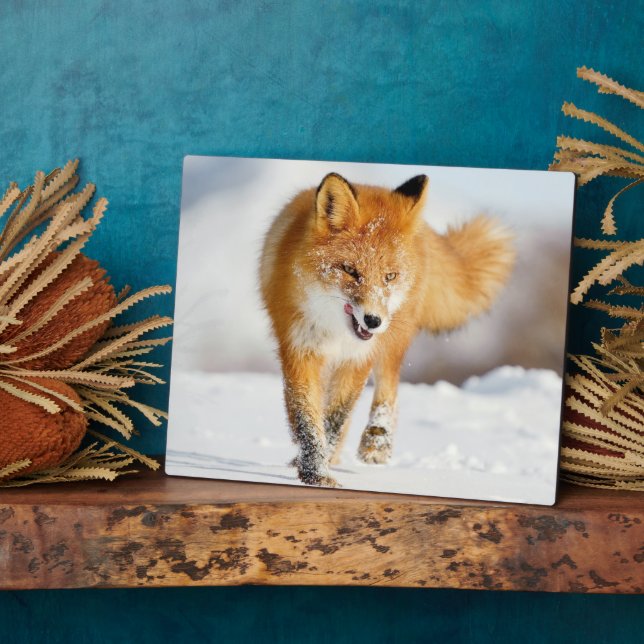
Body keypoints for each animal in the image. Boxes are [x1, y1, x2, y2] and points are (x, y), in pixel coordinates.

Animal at [259, 172, 515, 487]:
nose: (373, 321)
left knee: (388, 386)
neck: (335, 332)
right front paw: (315, 471)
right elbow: (308, 418)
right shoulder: (299, 350)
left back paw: (376, 443)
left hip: (393, 339)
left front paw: (319, 468)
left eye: (389, 276)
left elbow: (336, 418)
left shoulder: (358, 358)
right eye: (350, 271)